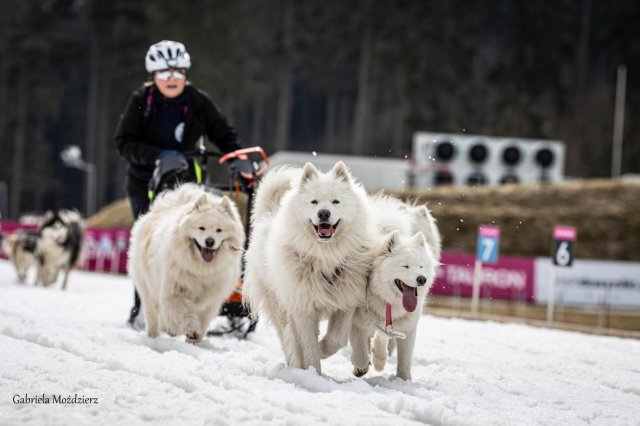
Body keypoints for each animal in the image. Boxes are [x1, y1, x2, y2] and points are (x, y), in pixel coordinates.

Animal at [128, 183, 245, 342]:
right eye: (201, 228)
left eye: (219, 230)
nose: (209, 241)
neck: (201, 270)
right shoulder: (175, 293)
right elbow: (185, 312)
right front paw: (191, 330)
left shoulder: (210, 300)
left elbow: (202, 319)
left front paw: (194, 340)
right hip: (147, 288)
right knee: (152, 315)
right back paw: (154, 336)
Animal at [242, 161, 372, 372]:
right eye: (314, 202)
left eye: (335, 202)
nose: (324, 213)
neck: (325, 256)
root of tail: (269, 213)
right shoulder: (303, 308)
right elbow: (308, 346)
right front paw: (313, 372)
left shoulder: (346, 299)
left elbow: (336, 339)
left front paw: (323, 350)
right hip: (279, 304)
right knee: (288, 339)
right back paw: (294, 366)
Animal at [320, 195, 440, 382]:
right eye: (405, 266)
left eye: (421, 265)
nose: (422, 279)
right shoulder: (359, 318)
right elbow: (361, 346)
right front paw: (362, 365)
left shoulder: (405, 324)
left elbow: (402, 357)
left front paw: (401, 379)